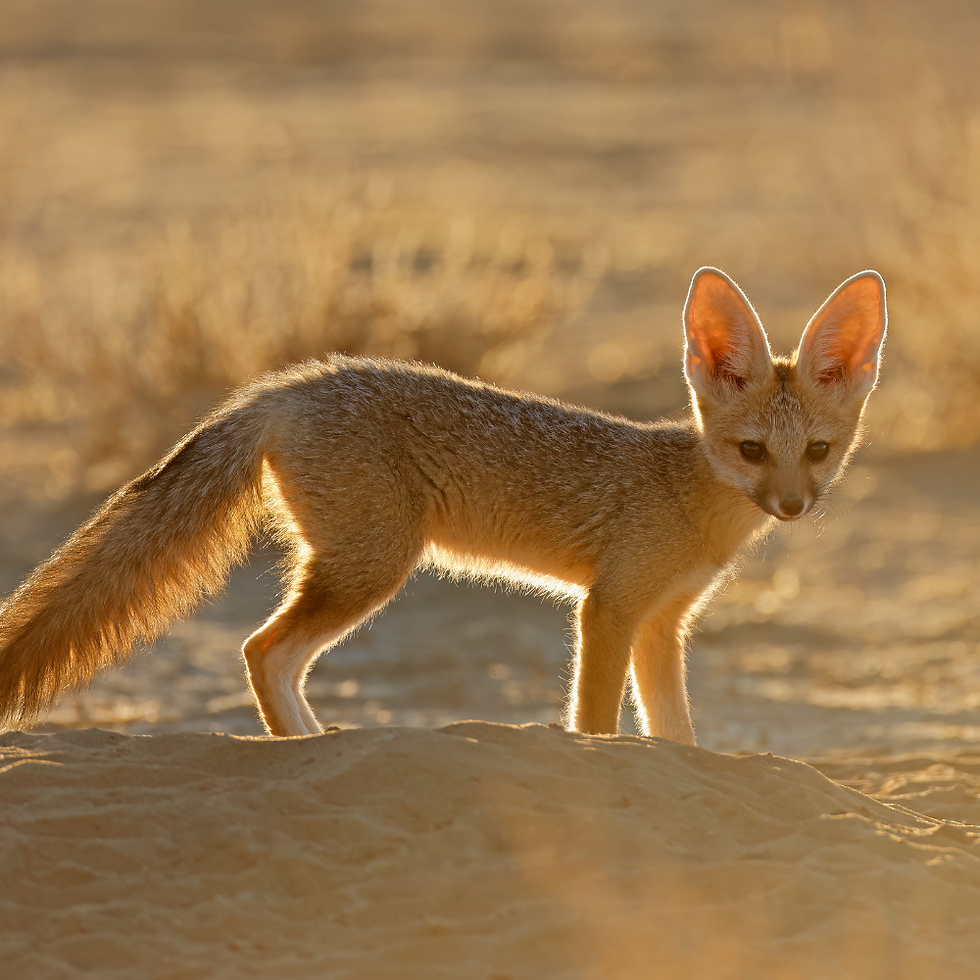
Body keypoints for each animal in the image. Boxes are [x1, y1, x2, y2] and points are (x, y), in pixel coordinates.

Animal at [0, 267, 886, 743]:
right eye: (750, 451)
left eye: (817, 451)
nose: (792, 506)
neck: (689, 494)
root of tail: (290, 384)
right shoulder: (608, 609)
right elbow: (597, 722)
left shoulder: (662, 624)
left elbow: (678, 735)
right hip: (372, 568)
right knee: (260, 650)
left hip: (356, 565)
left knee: (270, 655)